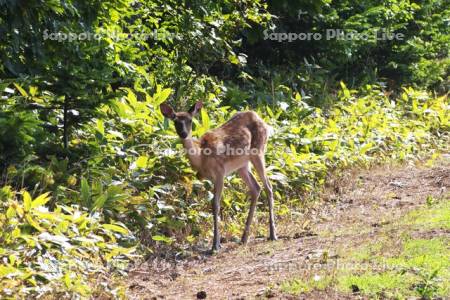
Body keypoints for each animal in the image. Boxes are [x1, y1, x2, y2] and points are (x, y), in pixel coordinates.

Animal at [160, 102, 276, 252]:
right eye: (175, 121)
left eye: (190, 120)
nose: (184, 134)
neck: (201, 157)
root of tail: (261, 119)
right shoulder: (211, 178)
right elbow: (213, 203)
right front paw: (217, 243)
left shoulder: (220, 173)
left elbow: (215, 204)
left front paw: (215, 245)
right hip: (242, 165)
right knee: (256, 188)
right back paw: (244, 238)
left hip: (258, 151)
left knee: (268, 186)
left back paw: (272, 234)